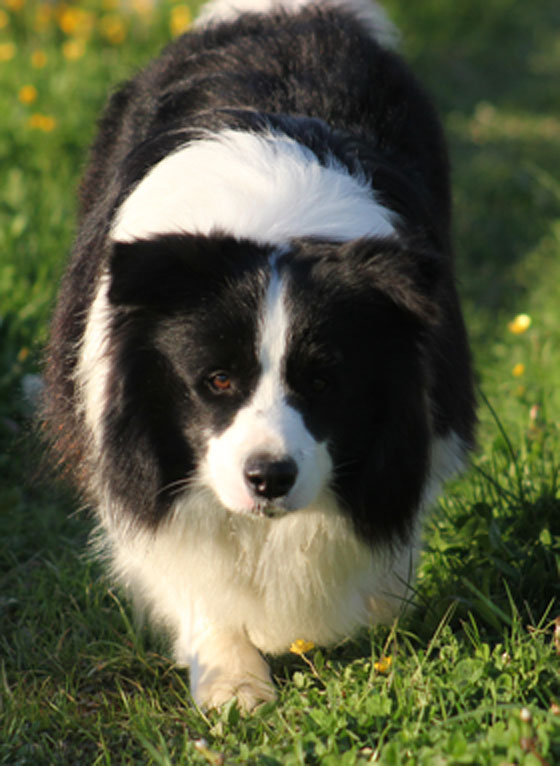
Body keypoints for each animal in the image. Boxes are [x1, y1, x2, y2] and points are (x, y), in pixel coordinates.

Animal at [44, 0, 472, 712]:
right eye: (216, 380)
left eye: (324, 382)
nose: (268, 478)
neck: (269, 228)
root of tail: (291, 12)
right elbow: (187, 554)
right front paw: (233, 679)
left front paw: (368, 602)